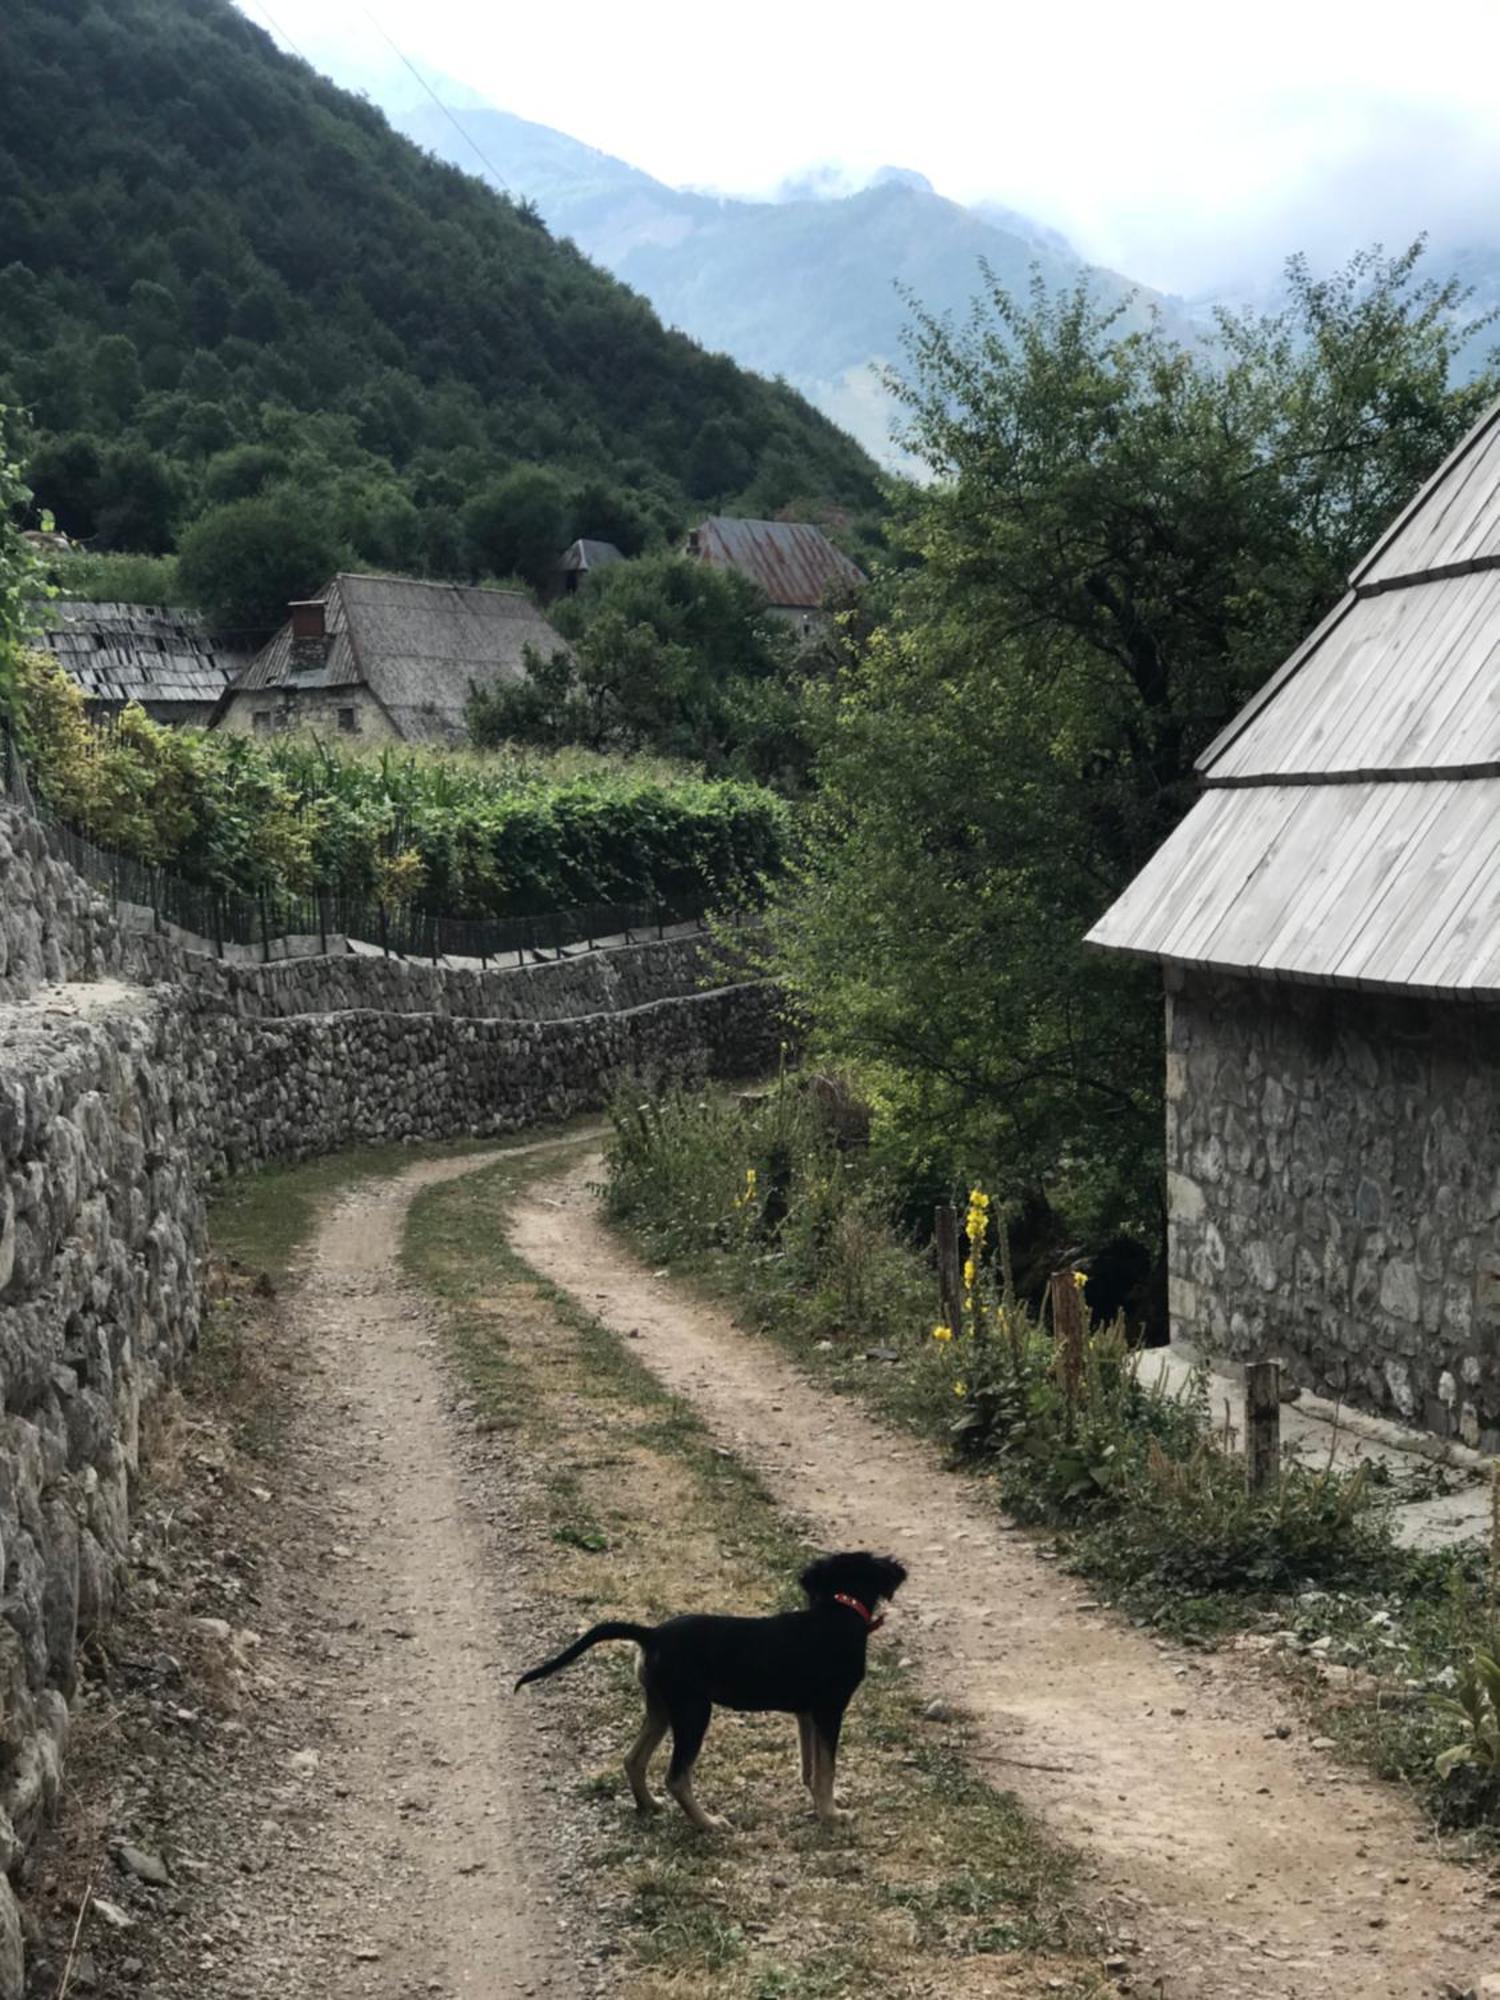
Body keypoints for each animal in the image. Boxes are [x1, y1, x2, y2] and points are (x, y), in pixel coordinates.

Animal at [516, 1544, 904, 1832]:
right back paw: (708, 1823)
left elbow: (810, 1766)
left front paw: (820, 1803)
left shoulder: (806, 1713)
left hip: (662, 1706)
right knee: (676, 1776)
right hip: (694, 1710)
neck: (839, 1610)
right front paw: (833, 1814)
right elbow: (827, 1768)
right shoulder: (829, 1710)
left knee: (633, 1759)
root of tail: (652, 1634)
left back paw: (649, 1805)